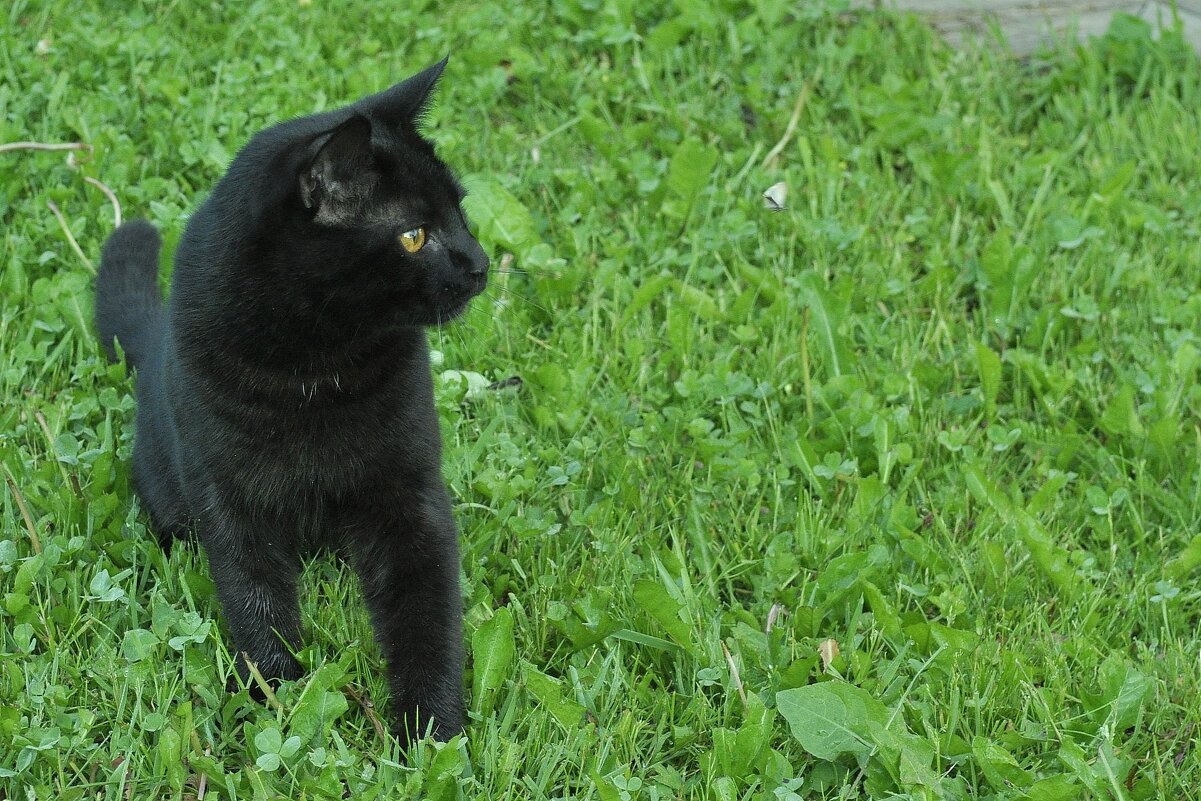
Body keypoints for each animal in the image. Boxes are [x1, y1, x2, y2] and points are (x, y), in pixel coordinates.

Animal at [93, 59, 485, 749]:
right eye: (414, 236)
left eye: (460, 213)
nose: (482, 264)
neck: (318, 368)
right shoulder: (228, 498)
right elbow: (256, 603)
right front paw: (279, 701)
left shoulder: (410, 491)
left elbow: (429, 611)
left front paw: (432, 735)